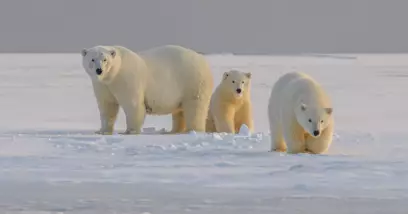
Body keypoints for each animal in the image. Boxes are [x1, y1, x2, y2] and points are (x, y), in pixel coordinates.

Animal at [80, 44, 214, 135]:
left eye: (105, 59)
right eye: (92, 59)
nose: (99, 70)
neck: (113, 75)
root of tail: (203, 60)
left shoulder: (127, 79)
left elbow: (133, 104)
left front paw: (130, 131)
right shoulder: (103, 86)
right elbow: (107, 106)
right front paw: (102, 131)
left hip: (193, 81)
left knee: (195, 107)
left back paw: (193, 130)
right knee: (179, 111)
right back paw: (174, 131)